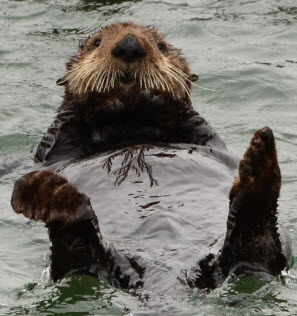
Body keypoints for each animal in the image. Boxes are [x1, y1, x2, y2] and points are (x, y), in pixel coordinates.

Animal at [11, 22, 290, 298]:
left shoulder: (202, 135)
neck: (130, 126)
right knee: (76, 249)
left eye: (162, 46)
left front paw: (151, 97)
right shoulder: (54, 144)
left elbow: (188, 118)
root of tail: (167, 279)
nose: (129, 45)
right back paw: (48, 194)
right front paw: (104, 100)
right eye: (96, 43)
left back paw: (259, 161)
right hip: (82, 263)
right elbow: (67, 124)